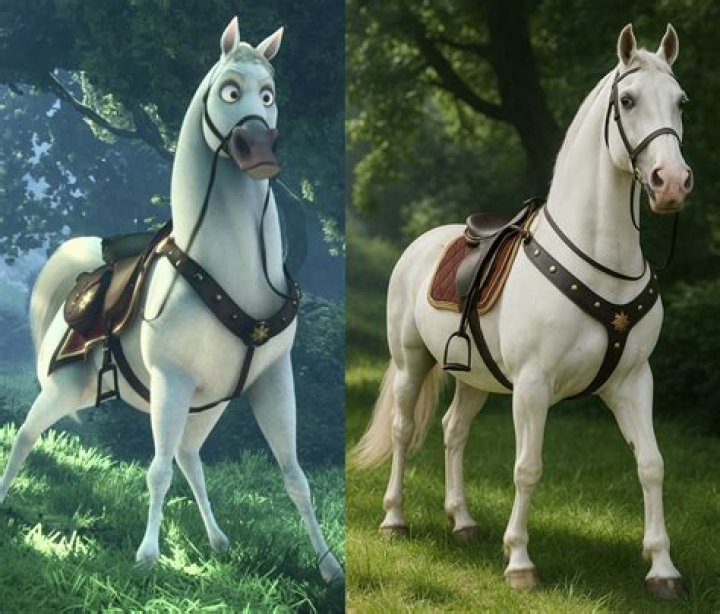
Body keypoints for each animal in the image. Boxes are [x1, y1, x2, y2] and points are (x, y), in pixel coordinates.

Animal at [0, 16, 343, 585]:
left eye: (269, 96)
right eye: (230, 91)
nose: (261, 153)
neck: (231, 273)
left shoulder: (273, 380)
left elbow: (294, 476)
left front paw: (329, 565)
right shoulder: (171, 381)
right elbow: (156, 471)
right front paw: (147, 557)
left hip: (204, 408)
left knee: (189, 455)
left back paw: (219, 540)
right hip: (70, 390)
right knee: (28, 434)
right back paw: (6, 497)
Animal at [351, 24, 692, 599]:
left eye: (681, 101)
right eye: (627, 100)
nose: (672, 182)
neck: (602, 264)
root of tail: (421, 244)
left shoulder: (632, 382)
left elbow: (652, 464)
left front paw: (662, 569)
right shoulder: (533, 386)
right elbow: (527, 468)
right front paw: (519, 563)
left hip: (473, 378)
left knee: (453, 431)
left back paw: (463, 522)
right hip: (410, 362)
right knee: (402, 430)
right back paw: (394, 519)